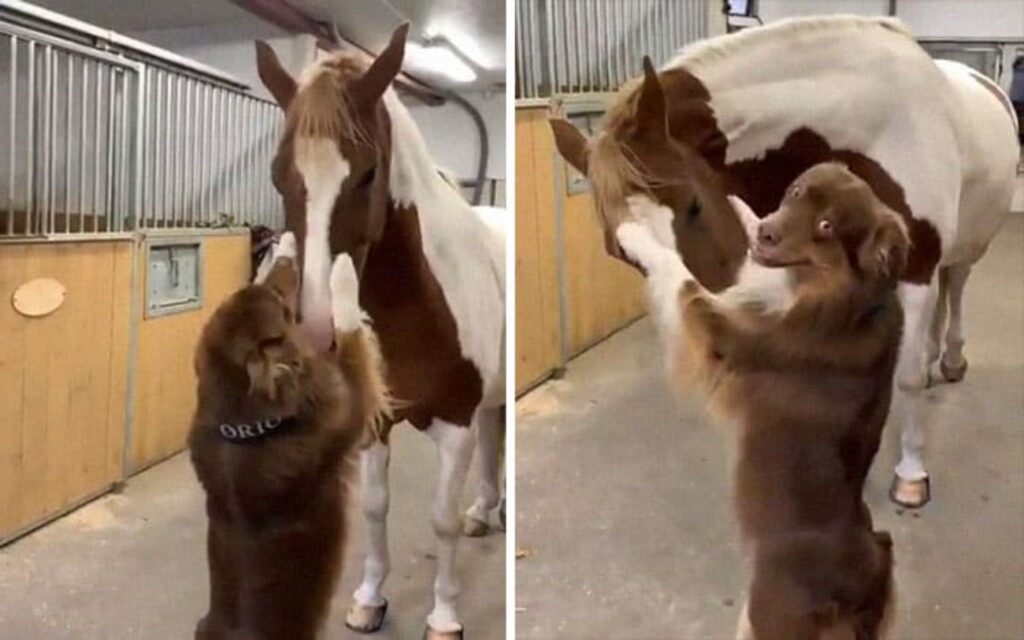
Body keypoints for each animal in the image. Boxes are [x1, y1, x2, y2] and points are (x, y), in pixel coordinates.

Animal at [187, 234, 387, 638]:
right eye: (281, 303)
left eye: (270, 293)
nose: (284, 239)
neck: (244, 429)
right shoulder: (352, 402)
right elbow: (350, 331)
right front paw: (342, 271)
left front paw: (282, 249)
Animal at [256, 24, 503, 638]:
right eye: (280, 175)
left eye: (368, 173)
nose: (317, 330)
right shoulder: (375, 424)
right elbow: (373, 508)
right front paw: (369, 598)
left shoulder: (456, 424)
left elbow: (440, 519)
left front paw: (444, 616)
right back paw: (486, 511)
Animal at [552, 16, 1015, 509]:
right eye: (618, 250)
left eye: (694, 205)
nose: (705, 338)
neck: (867, 126)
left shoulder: (916, 269)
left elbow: (903, 377)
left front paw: (910, 476)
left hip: (964, 249)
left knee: (956, 284)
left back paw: (949, 360)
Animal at [614, 163, 905, 638]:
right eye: (796, 192)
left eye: (826, 226)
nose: (768, 232)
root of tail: (868, 572)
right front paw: (660, 210)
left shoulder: (726, 335)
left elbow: (677, 271)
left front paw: (633, 231)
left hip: (771, 617)